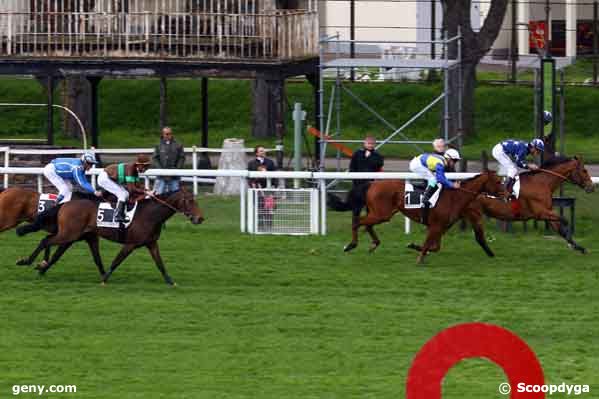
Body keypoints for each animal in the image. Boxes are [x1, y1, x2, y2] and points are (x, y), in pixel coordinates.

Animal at [17, 190, 204, 286]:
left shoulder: (151, 244)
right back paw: (27, 261)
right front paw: (105, 278)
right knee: (45, 240)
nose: (200, 218)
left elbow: (160, 264)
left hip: (72, 234)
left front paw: (170, 281)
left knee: (49, 240)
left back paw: (41, 265)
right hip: (69, 234)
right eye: (189, 201)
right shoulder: (131, 244)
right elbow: (116, 261)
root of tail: (65, 204)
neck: (150, 215)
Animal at [332, 170, 506, 264]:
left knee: (366, 224)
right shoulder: (435, 226)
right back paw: (351, 245)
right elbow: (430, 244)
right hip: (381, 214)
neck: (455, 197)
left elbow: (435, 247)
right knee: (358, 221)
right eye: (498, 181)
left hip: (380, 213)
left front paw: (414, 246)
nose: (507, 194)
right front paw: (420, 257)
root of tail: (372, 183)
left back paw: (374, 244)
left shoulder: (440, 227)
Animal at [464, 155, 596, 253]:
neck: (542, 182)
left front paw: (579, 247)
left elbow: (560, 229)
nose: (591, 187)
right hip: (475, 213)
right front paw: (571, 244)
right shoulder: (540, 213)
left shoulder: (547, 213)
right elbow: (565, 220)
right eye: (584, 170)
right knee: (478, 236)